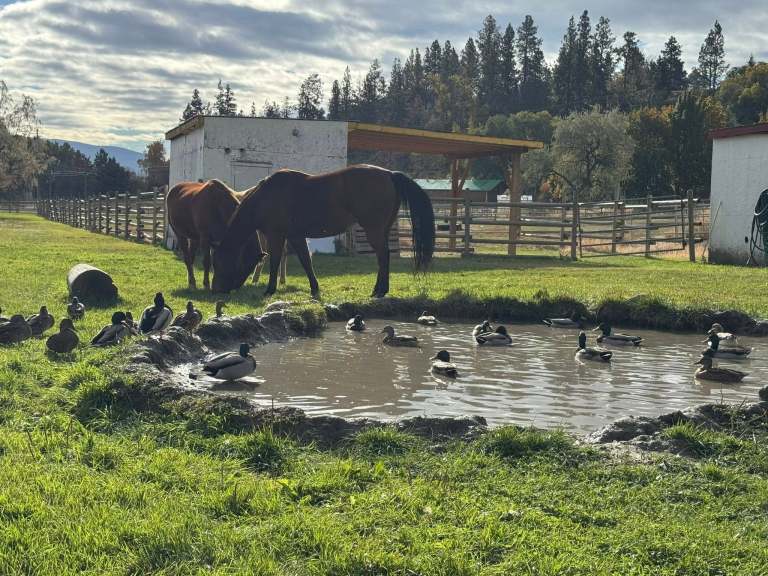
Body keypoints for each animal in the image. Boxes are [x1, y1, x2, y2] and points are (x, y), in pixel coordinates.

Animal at [211, 165, 435, 298]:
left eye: (220, 263)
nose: (215, 290)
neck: (267, 196)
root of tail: (389, 174)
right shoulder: (295, 236)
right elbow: (306, 261)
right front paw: (314, 288)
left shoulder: (277, 235)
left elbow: (275, 261)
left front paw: (270, 289)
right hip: (383, 229)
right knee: (383, 257)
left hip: (374, 230)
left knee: (383, 256)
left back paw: (379, 291)